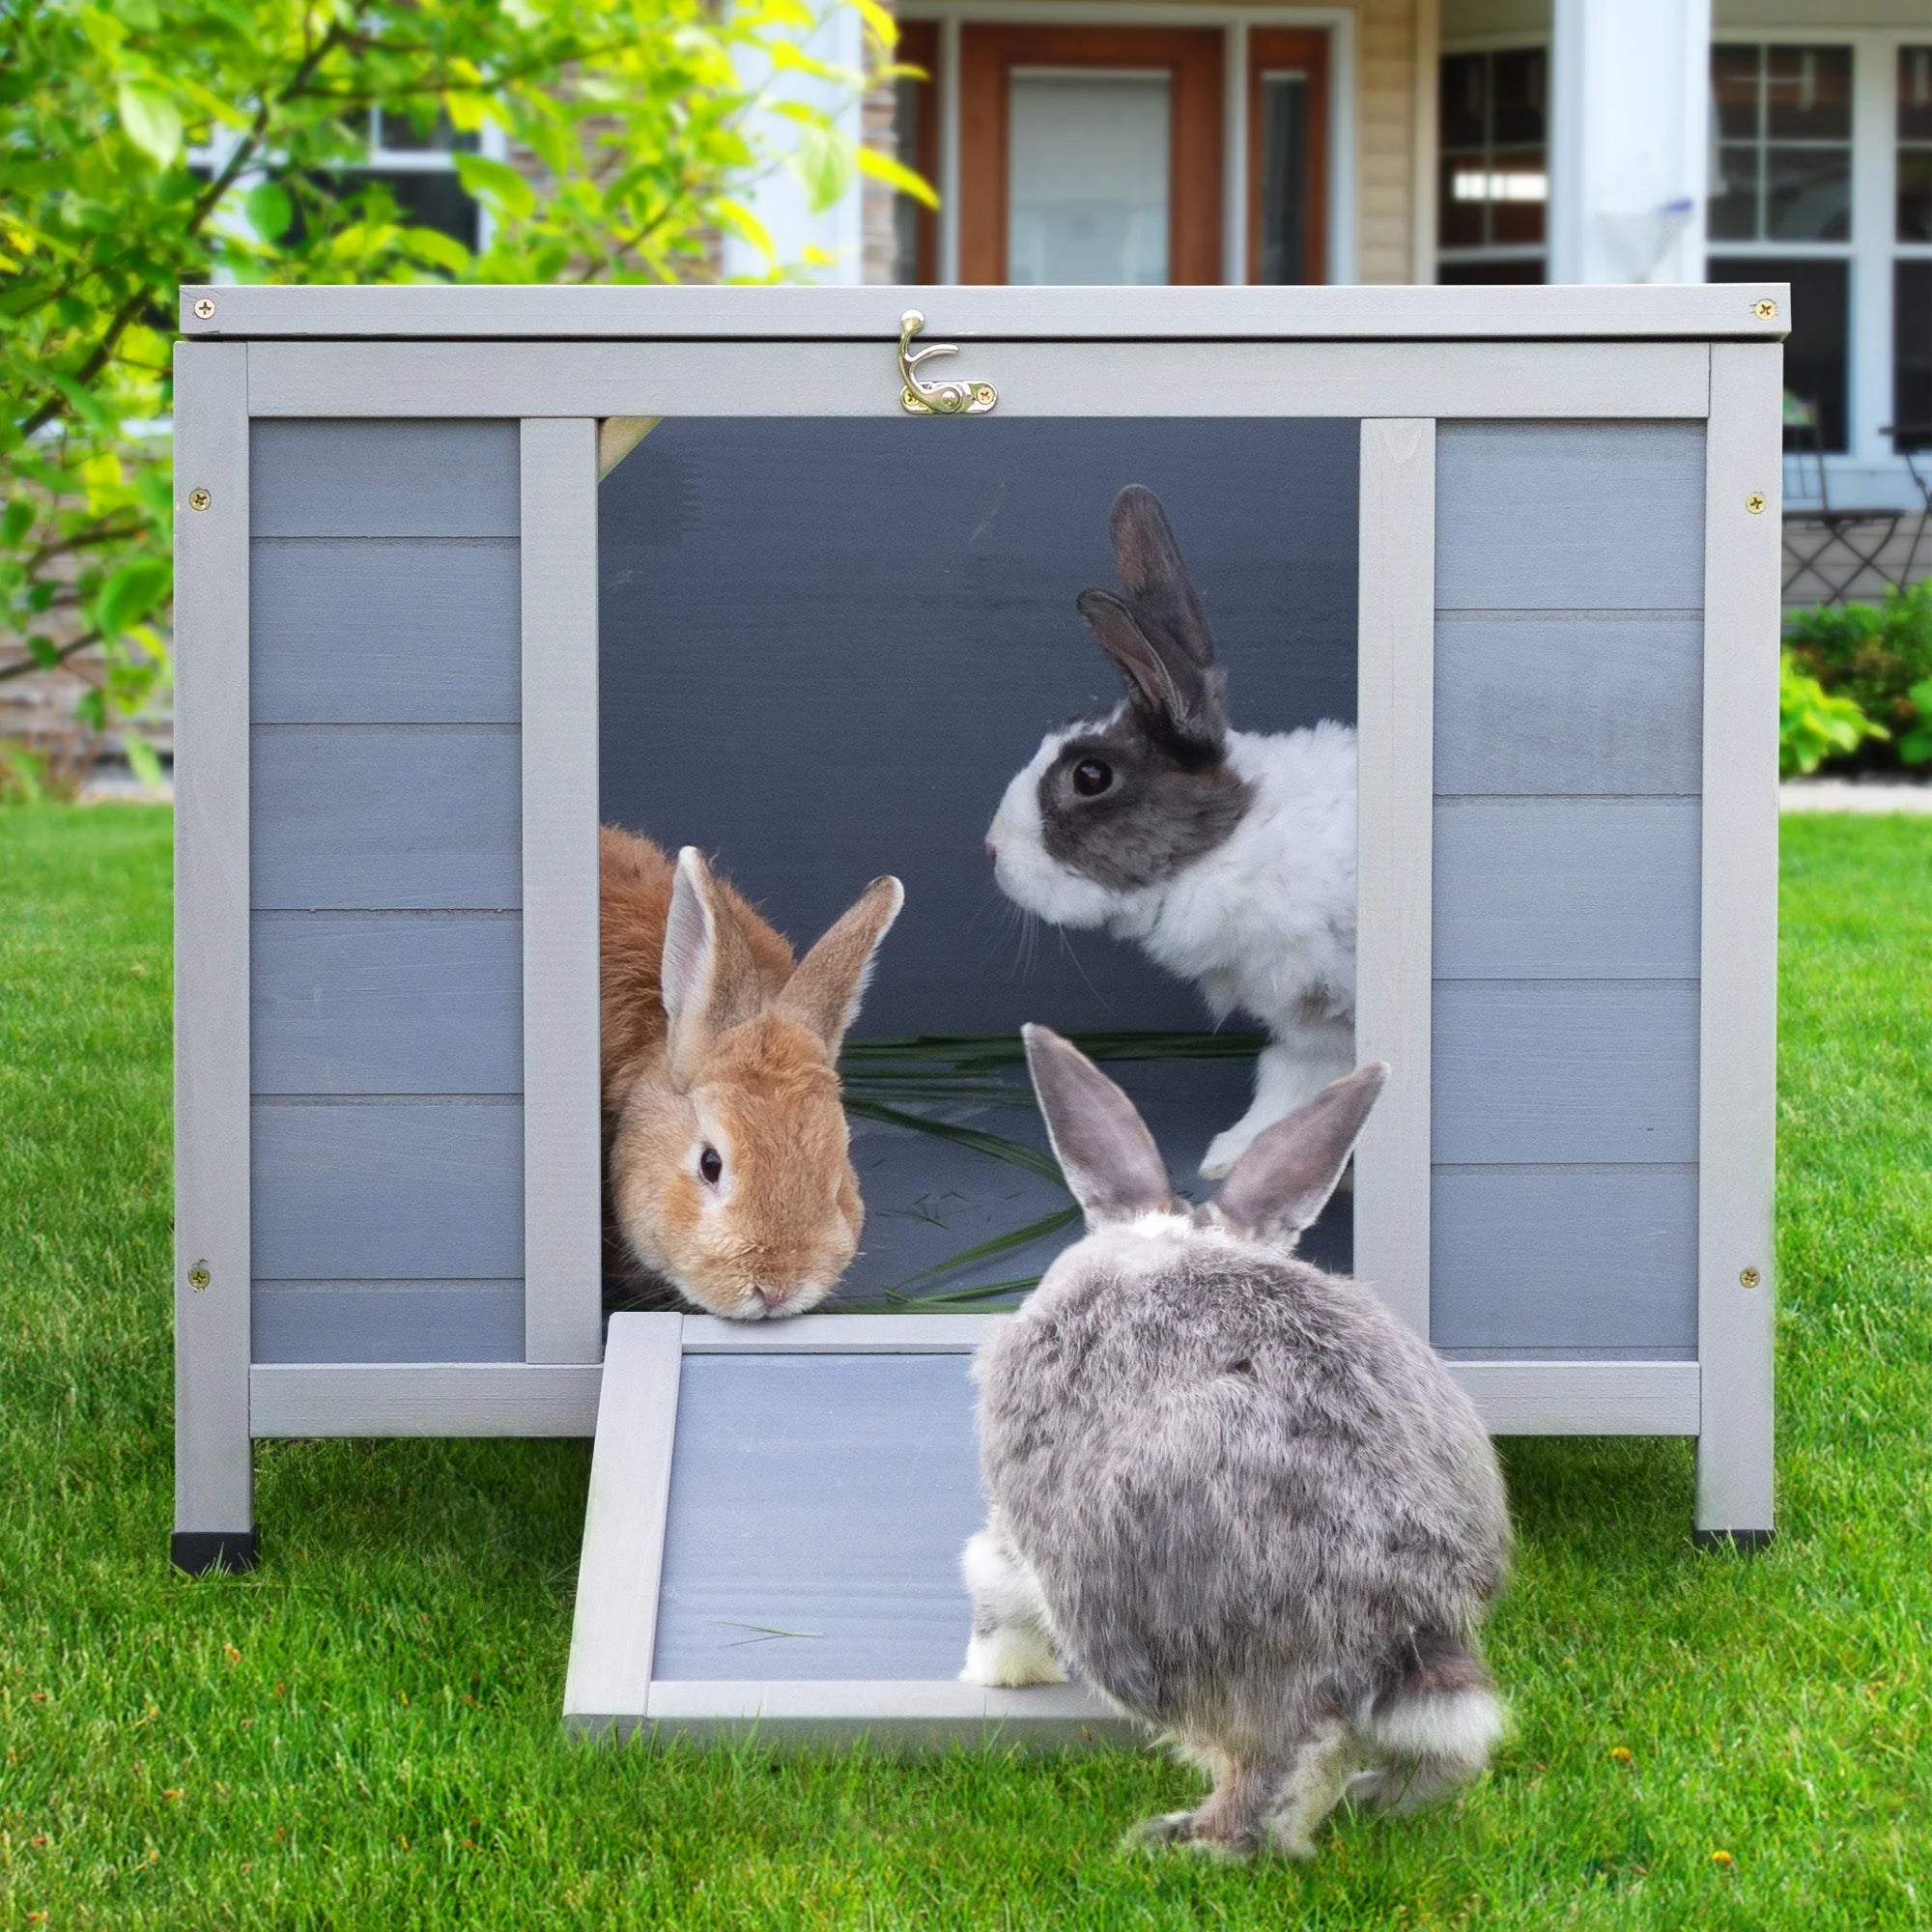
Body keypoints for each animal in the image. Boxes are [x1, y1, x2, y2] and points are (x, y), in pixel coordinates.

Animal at [962, 1028, 1507, 1855]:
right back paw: (1377, 1797)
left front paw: (992, 1675)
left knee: (1280, 1763)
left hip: (1151, 1631)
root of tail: (1398, 1596)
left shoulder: (1011, 1530)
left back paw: (1186, 1842)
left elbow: (993, 1591)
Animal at [981, 483, 1360, 1175]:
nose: (991, 849)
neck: (1234, 843)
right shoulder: (1309, 1031)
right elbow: (1289, 1081)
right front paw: (1232, 1160)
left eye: (1091, 776)